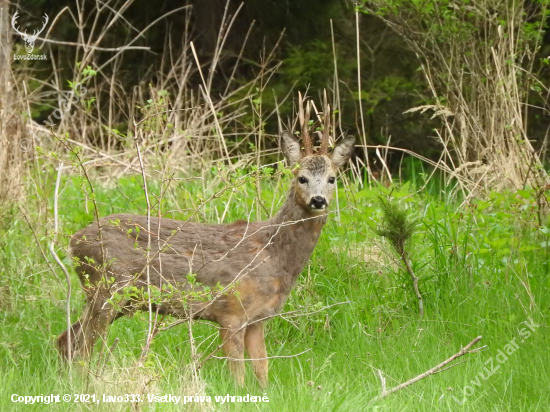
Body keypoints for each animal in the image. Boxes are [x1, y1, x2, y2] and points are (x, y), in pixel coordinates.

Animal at [57, 91, 358, 386]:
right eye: (301, 178)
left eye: (332, 178)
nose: (318, 200)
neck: (272, 254)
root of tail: (74, 241)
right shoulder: (230, 311)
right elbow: (238, 376)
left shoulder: (258, 318)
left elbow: (262, 371)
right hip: (107, 288)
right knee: (81, 345)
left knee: (66, 340)